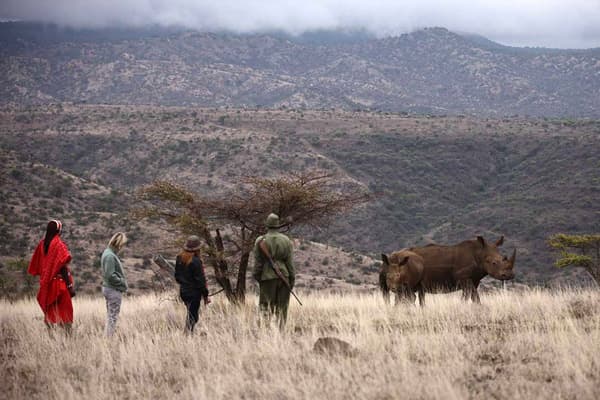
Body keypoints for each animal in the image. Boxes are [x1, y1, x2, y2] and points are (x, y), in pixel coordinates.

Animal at [380, 236, 516, 304]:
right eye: (493, 263)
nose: (509, 275)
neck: (479, 253)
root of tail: (391, 256)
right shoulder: (464, 278)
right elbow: (470, 296)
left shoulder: (474, 280)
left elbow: (472, 297)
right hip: (393, 265)